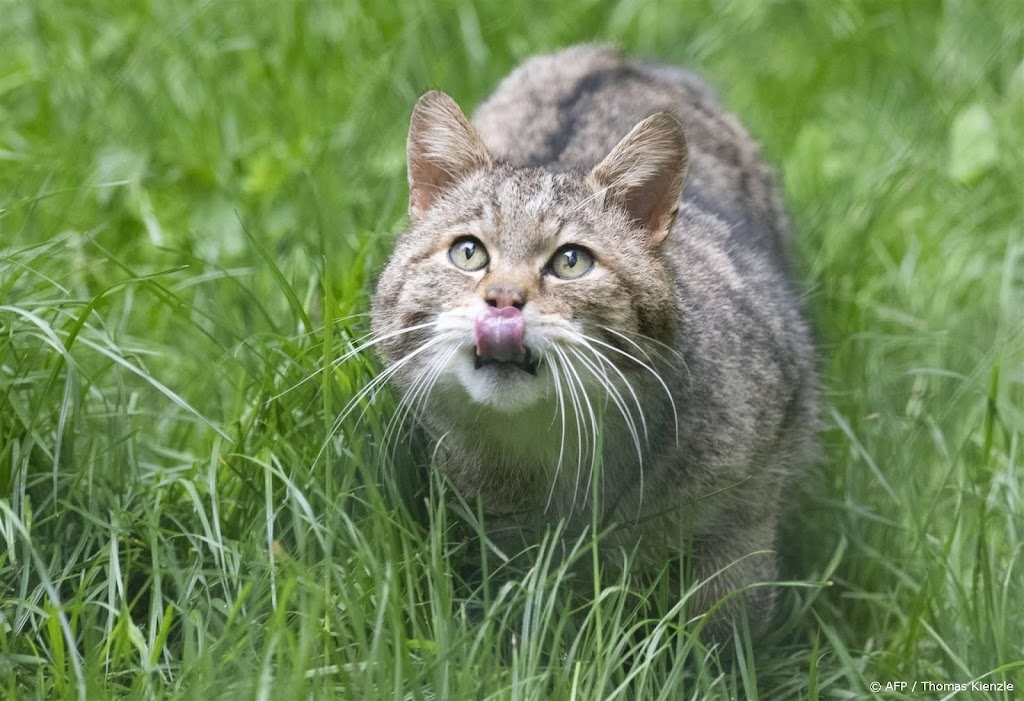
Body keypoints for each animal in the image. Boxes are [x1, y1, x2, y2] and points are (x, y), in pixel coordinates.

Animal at [368, 45, 815, 638]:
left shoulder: (757, 483)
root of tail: (618, 54)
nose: (504, 300)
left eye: (571, 262)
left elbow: (723, 614)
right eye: (468, 252)